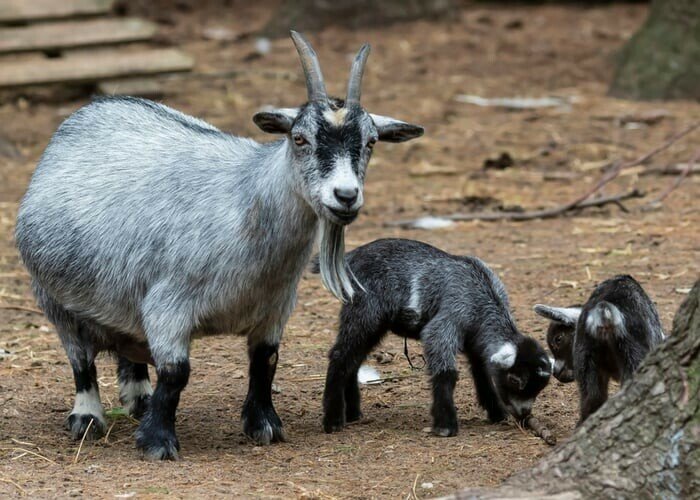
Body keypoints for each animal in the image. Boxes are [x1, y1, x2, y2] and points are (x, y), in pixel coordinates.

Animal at [15, 32, 423, 460]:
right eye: (299, 138)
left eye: (371, 141)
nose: (345, 195)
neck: (247, 201)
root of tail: (92, 109)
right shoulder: (168, 306)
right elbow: (176, 373)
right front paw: (158, 441)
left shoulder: (275, 307)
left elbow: (265, 362)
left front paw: (264, 426)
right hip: (53, 299)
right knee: (80, 361)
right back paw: (88, 417)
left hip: (121, 298)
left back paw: (139, 398)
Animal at [312, 239, 552, 437]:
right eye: (515, 380)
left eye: (540, 387)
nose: (524, 413)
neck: (482, 298)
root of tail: (350, 257)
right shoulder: (448, 320)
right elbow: (446, 371)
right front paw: (446, 425)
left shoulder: (475, 342)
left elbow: (482, 373)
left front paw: (497, 413)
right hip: (364, 311)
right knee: (340, 355)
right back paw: (333, 420)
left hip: (372, 322)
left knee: (354, 359)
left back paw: (353, 413)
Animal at [534, 274, 665, 424]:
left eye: (559, 339)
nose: (555, 372)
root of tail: (604, 309)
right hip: (633, 357)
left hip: (586, 358)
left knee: (592, 400)